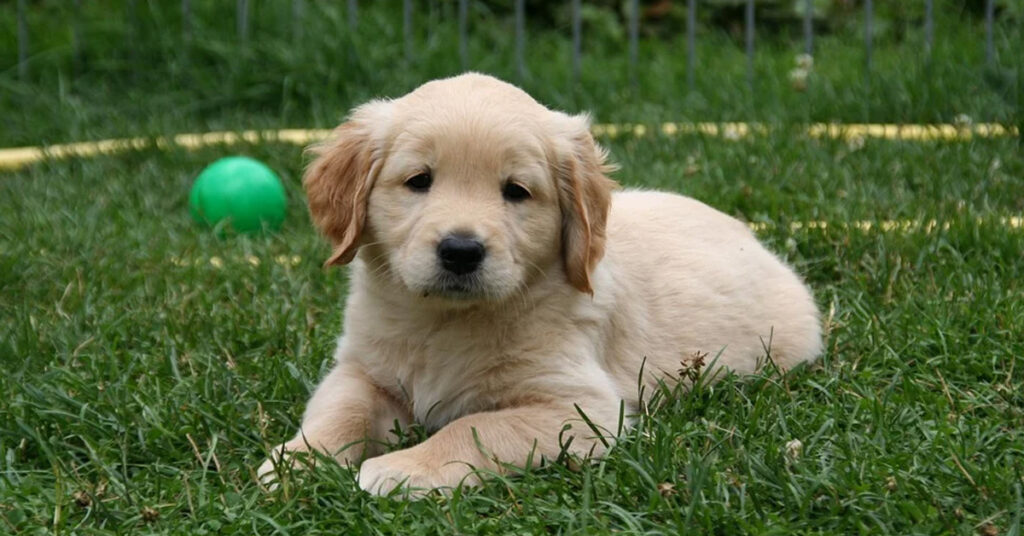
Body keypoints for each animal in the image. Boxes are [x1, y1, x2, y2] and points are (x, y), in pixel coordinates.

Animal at [262, 73, 823, 498]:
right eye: (419, 180)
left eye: (517, 191)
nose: (461, 250)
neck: (445, 320)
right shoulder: (362, 367)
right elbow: (343, 410)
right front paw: (298, 459)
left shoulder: (576, 408)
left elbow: (475, 428)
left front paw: (404, 468)